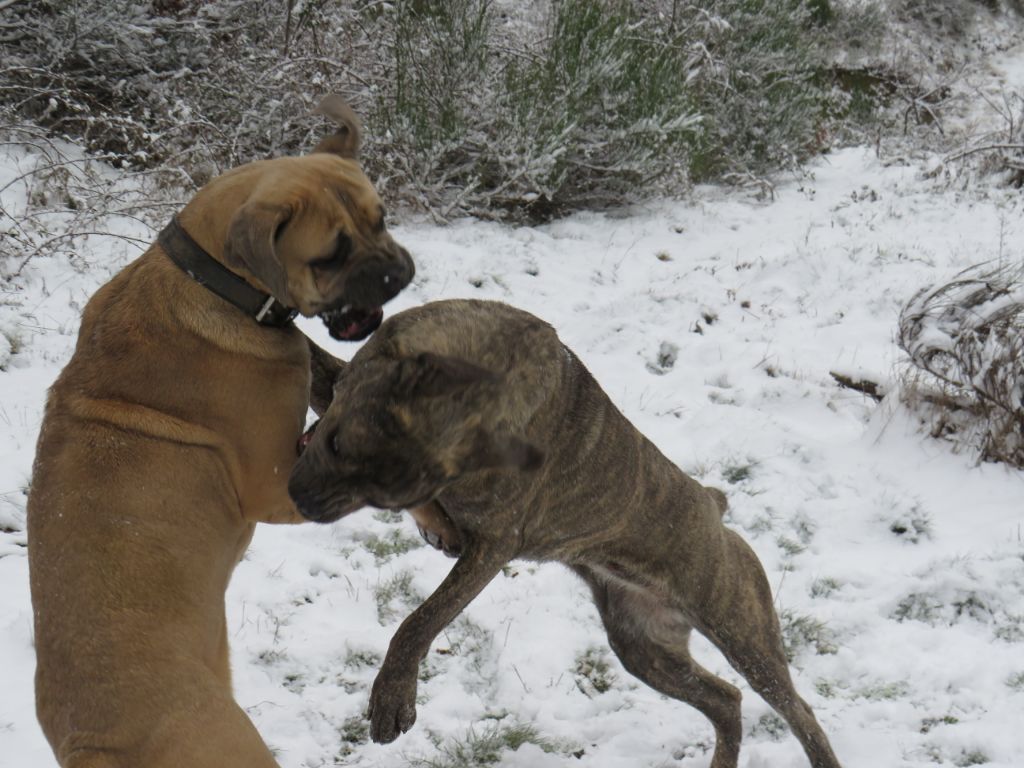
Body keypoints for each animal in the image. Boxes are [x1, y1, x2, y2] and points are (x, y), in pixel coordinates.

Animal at [28, 97, 411, 768]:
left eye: (381, 219)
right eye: (330, 256)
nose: (398, 274)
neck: (217, 282)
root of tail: (91, 745)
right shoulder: (278, 487)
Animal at [288, 299, 839, 768]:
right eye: (334, 444)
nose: (300, 499)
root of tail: (712, 503)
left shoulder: (493, 545)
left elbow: (421, 621)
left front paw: (392, 699)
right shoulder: (342, 380)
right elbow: (312, 359)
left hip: (742, 633)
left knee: (798, 711)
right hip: (645, 649)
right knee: (726, 701)